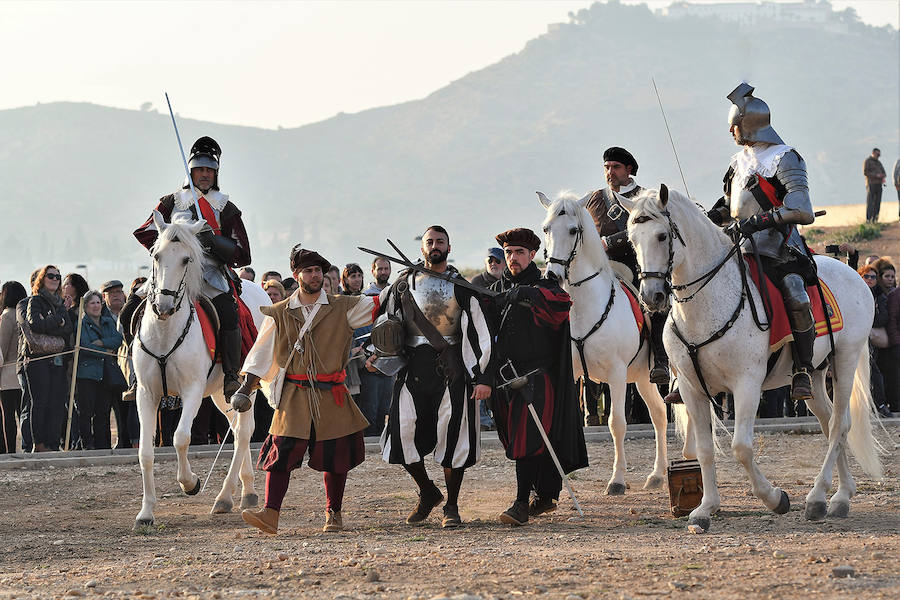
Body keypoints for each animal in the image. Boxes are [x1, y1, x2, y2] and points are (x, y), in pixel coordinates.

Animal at [132, 211, 268, 528]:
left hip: (249, 384)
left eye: (186, 259)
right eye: (156, 255)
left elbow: (181, 437)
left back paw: (225, 497)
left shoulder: (192, 391)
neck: (166, 332)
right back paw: (246, 491)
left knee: (244, 432)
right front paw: (146, 512)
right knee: (236, 429)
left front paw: (190, 482)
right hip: (220, 394)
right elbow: (145, 452)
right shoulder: (146, 394)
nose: (164, 305)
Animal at [536, 191, 684, 492]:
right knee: (659, 415)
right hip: (642, 378)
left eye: (573, 230)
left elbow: (617, 423)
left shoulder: (616, 375)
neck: (584, 307)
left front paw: (617, 480)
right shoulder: (573, 373)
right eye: (546, 229)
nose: (553, 276)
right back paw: (657, 475)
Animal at [624, 185, 884, 532]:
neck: (707, 304)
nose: (651, 297)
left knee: (840, 424)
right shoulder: (692, 389)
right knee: (829, 423)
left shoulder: (746, 384)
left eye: (662, 236)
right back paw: (841, 492)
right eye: (631, 240)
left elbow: (741, 448)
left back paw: (821, 498)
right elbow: (704, 450)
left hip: (845, 358)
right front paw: (705, 508)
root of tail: (854, 273)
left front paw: (775, 499)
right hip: (815, 374)